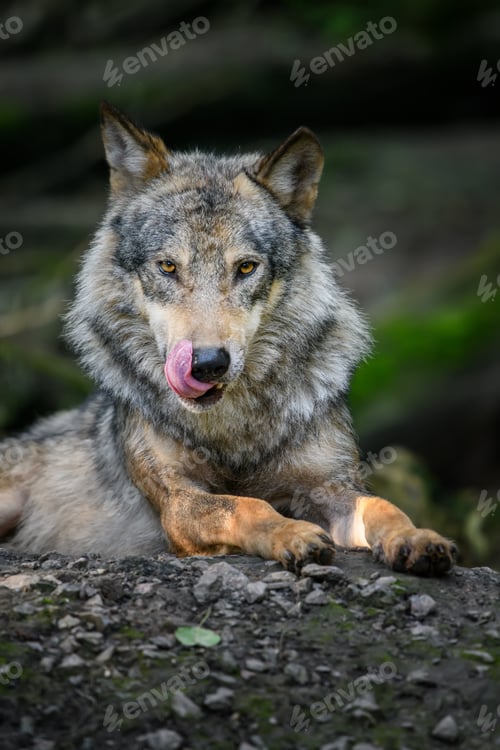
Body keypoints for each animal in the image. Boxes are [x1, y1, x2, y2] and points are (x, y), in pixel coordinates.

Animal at [0, 103, 456, 575]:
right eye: (167, 267)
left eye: (246, 268)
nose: (206, 364)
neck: (230, 428)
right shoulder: (179, 501)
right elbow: (245, 505)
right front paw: (291, 534)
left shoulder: (329, 484)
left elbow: (381, 505)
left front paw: (416, 538)